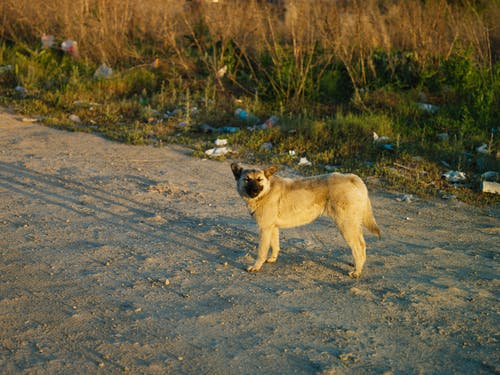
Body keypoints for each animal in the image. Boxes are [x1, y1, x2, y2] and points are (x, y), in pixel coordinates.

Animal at [230, 163, 378, 278]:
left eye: (259, 180)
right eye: (247, 179)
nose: (254, 190)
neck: (266, 192)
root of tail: (352, 177)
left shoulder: (265, 229)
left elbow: (261, 251)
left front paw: (256, 266)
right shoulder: (272, 227)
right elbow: (275, 245)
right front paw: (272, 258)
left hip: (345, 226)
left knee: (358, 246)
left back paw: (357, 271)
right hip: (352, 225)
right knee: (361, 245)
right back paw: (357, 264)